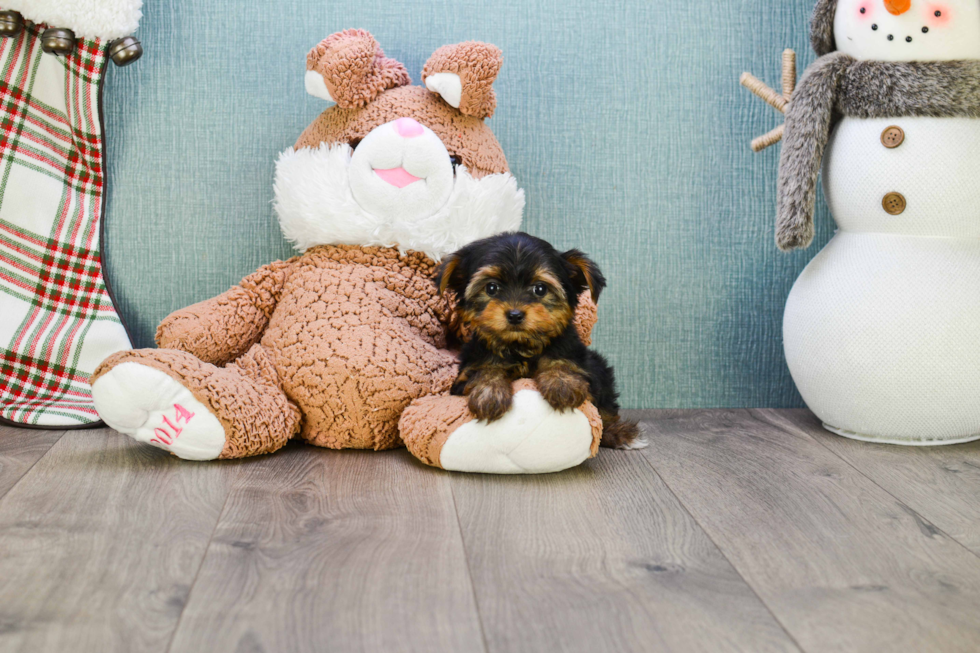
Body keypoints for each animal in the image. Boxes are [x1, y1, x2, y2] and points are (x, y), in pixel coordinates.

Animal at [436, 232, 644, 450]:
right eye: (491, 288)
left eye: (540, 289)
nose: (515, 315)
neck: (520, 346)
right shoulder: (466, 371)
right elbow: (484, 369)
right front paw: (489, 392)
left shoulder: (577, 358)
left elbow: (562, 361)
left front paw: (562, 383)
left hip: (599, 368)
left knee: (606, 408)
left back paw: (619, 432)